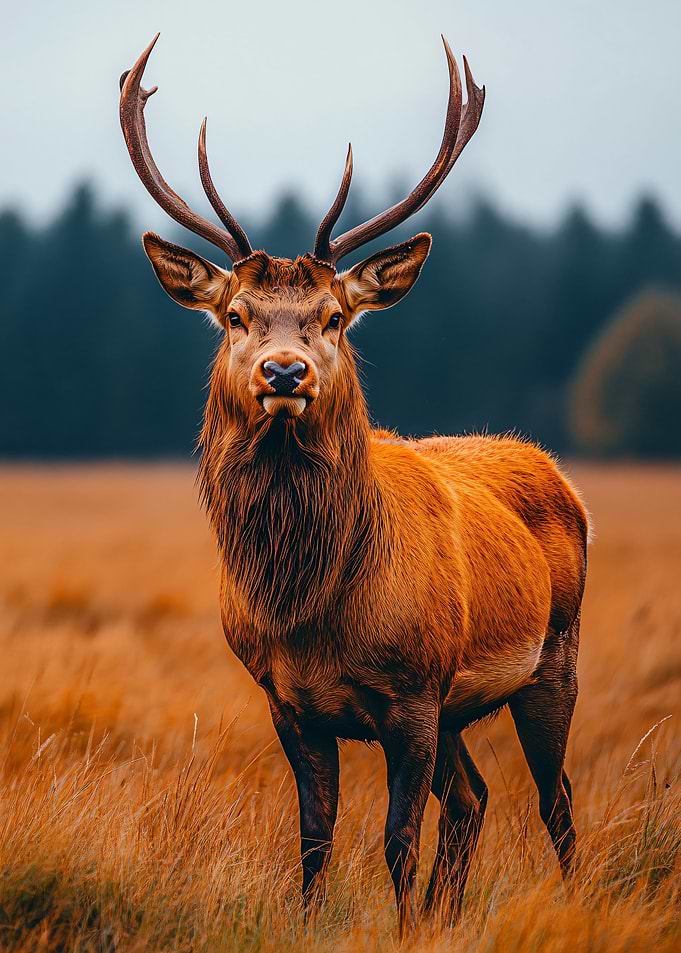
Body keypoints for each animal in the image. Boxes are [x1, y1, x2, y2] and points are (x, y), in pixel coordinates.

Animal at [120, 33, 589, 938]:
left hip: (551, 657)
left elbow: (396, 840)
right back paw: (450, 916)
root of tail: (557, 473)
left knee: (554, 804)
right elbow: (315, 840)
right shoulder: (288, 701)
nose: (283, 371)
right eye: (235, 314)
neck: (312, 608)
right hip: (458, 706)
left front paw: (404, 931)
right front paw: (326, 926)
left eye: (333, 316)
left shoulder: (411, 692)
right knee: (473, 800)